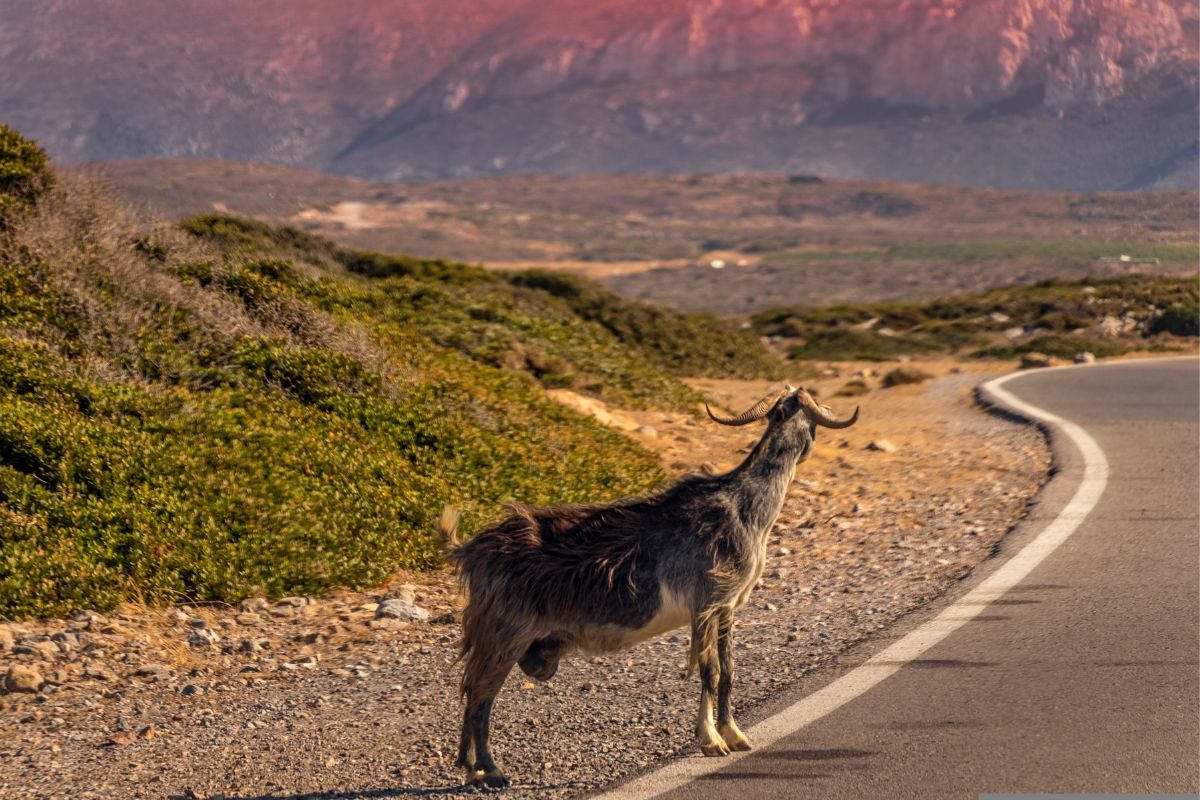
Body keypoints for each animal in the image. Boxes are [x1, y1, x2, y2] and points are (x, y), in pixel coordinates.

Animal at [449, 385, 858, 787]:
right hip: (507, 632)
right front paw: (711, 740)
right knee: (481, 692)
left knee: (473, 689)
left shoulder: (728, 607)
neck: (743, 507)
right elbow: (709, 670)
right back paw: (489, 771)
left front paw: (734, 734)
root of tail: (473, 551)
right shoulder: (706, 602)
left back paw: (471, 768)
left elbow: (728, 668)